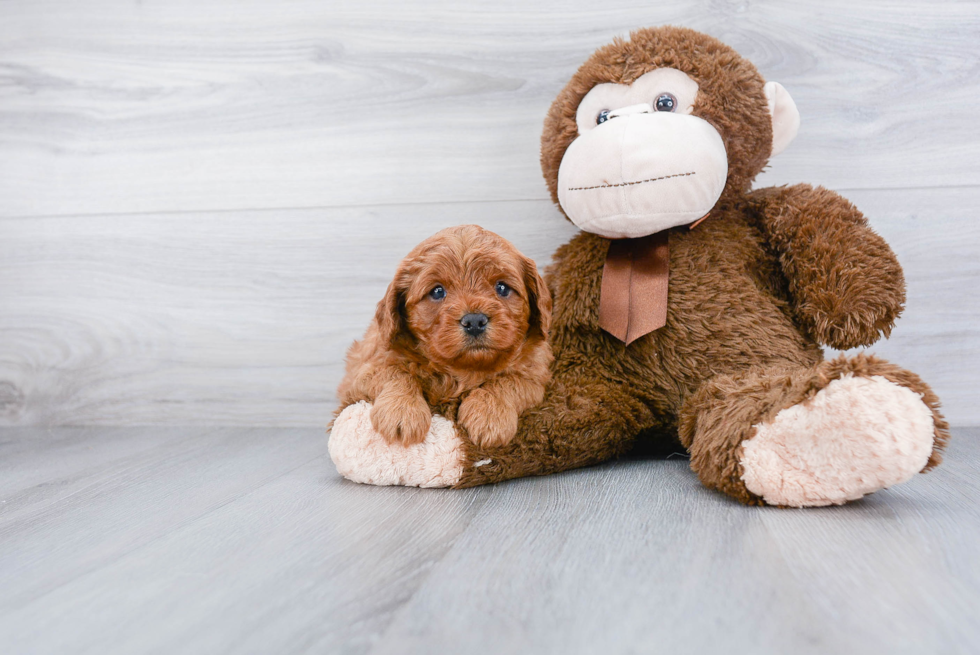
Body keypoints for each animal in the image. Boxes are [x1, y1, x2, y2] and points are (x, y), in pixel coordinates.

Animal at [336, 224, 552, 446]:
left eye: (502, 287)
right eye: (438, 291)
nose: (474, 321)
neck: (463, 371)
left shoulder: (535, 377)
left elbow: (509, 381)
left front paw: (489, 417)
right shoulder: (362, 371)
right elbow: (396, 372)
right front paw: (402, 411)